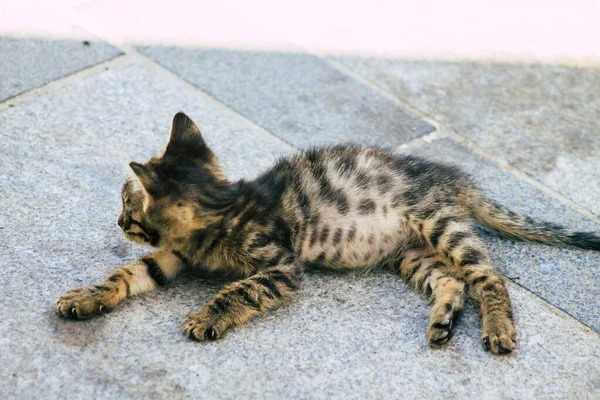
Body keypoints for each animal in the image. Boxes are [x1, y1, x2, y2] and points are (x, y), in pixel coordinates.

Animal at [56, 111, 600, 354]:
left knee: (487, 276)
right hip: (410, 253)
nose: (118, 221)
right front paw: (86, 296)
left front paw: (209, 314)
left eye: (128, 206)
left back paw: (499, 327)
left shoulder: (282, 266)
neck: (224, 208)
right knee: (451, 280)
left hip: (438, 224)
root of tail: (453, 178)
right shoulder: (173, 255)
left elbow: (242, 289)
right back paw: (443, 319)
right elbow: (129, 273)